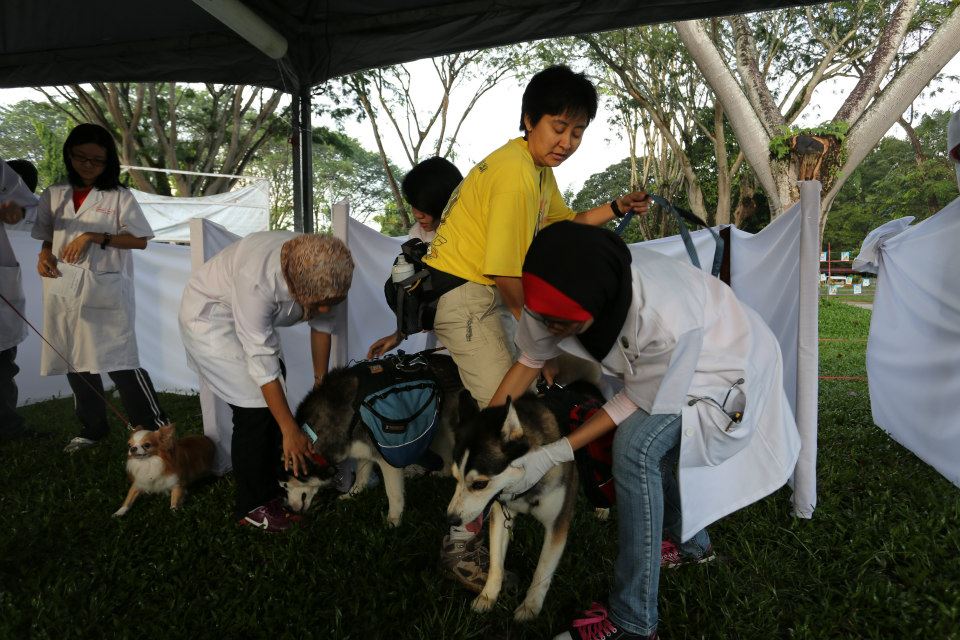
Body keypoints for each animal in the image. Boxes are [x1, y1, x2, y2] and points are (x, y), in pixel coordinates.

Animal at [293, 352, 459, 526]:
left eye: (285, 481)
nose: (289, 510)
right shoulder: (364, 451)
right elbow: (361, 477)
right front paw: (352, 494)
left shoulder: (387, 459)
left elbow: (393, 493)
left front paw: (394, 519)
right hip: (438, 427)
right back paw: (443, 473)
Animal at [446, 389, 584, 621]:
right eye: (455, 478)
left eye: (480, 484)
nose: (451, 519)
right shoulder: (501, 516)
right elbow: (496, 564)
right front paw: (487, 597)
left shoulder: (558, 524)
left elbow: (542, 570)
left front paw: (529, 607)